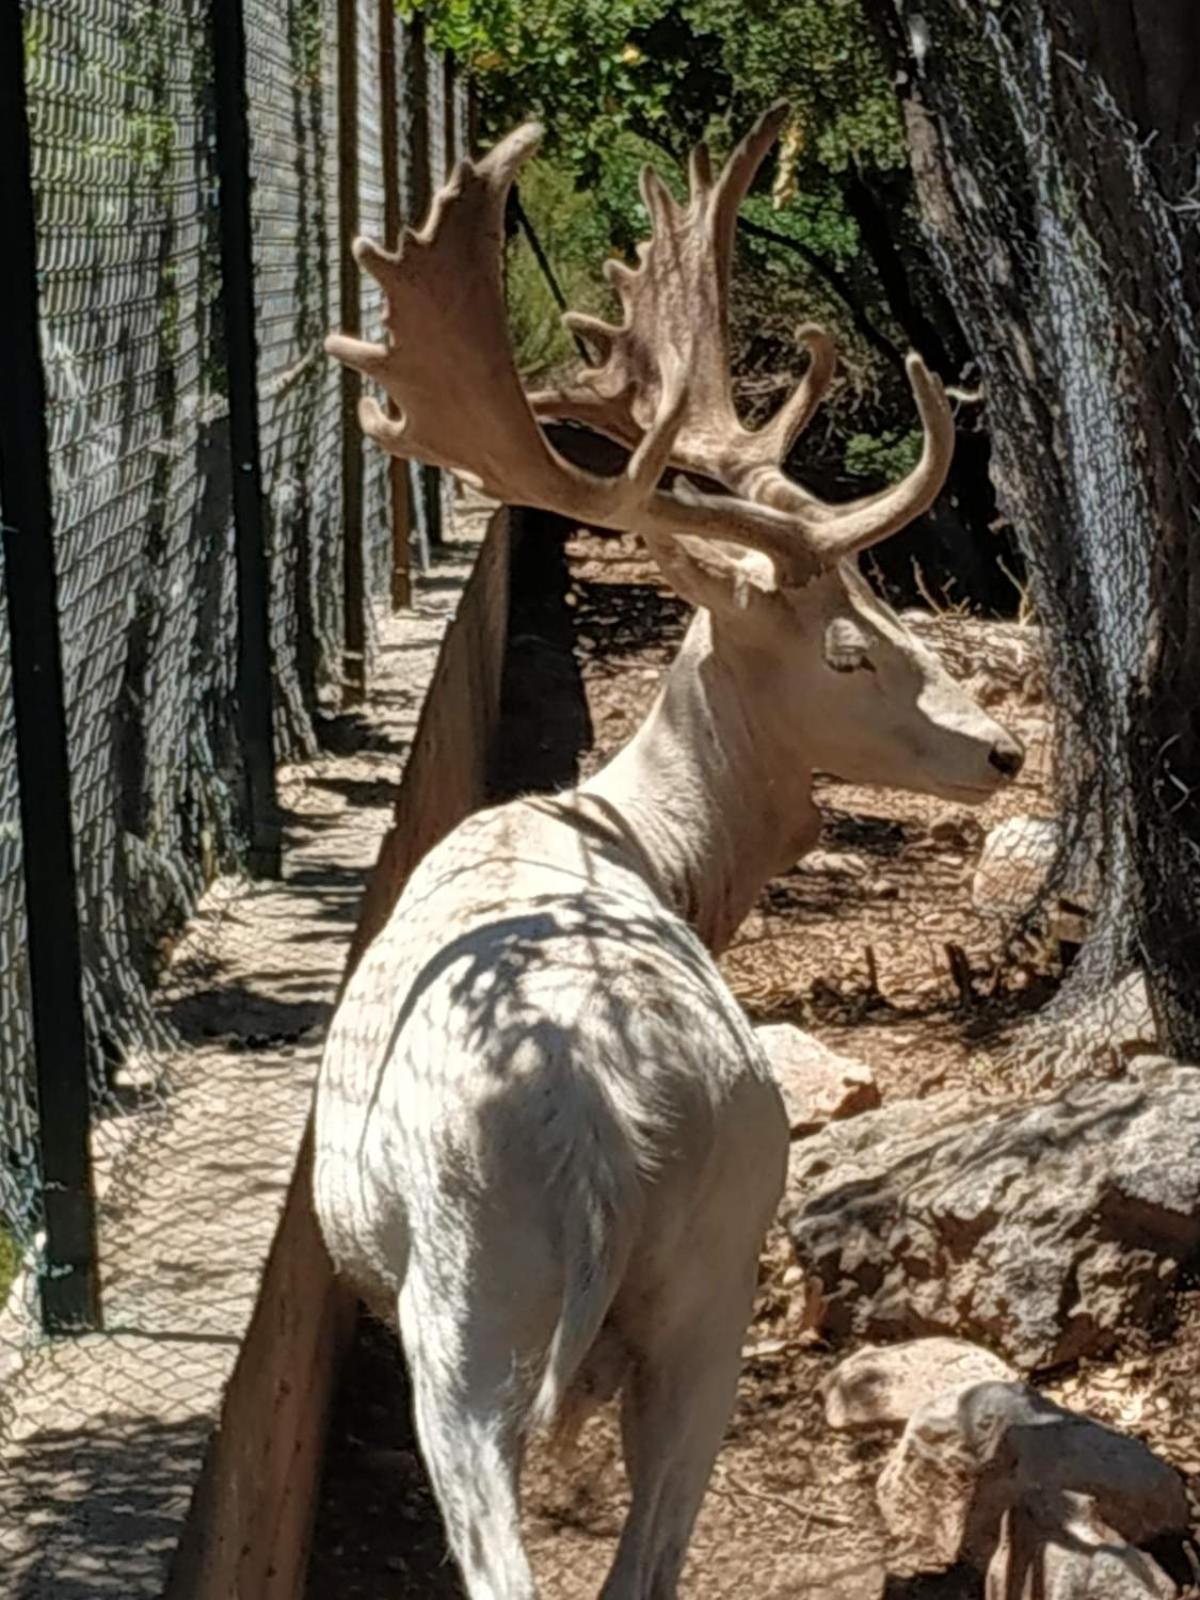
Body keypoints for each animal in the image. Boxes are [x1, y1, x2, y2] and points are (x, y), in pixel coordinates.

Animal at [312, 106, 1024, 1593]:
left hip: (497, 1300)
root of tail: (606, 1122)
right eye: (856, 645)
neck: (639, 839)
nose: (1002, 752)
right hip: (685, 1273)